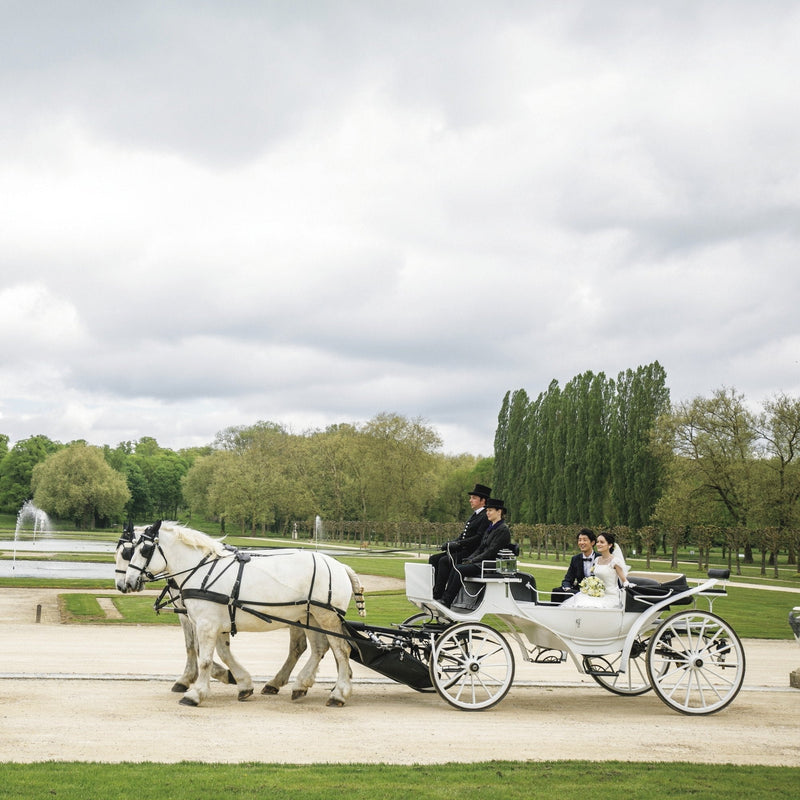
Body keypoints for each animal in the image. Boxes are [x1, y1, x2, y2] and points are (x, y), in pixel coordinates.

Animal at [122, 524, 366, 708]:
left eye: (142, 550)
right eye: (128, 551)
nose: (127, 583)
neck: (202, 570)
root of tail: (339, 564)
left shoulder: (206, 624)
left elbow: (205, 659)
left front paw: (196, 693)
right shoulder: (215, 623)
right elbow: (223, 655)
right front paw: (242, 683)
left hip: (326, 617)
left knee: (341, 651)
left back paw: (338, 693)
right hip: (311, 617)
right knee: (318, 648)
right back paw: (299, 685)